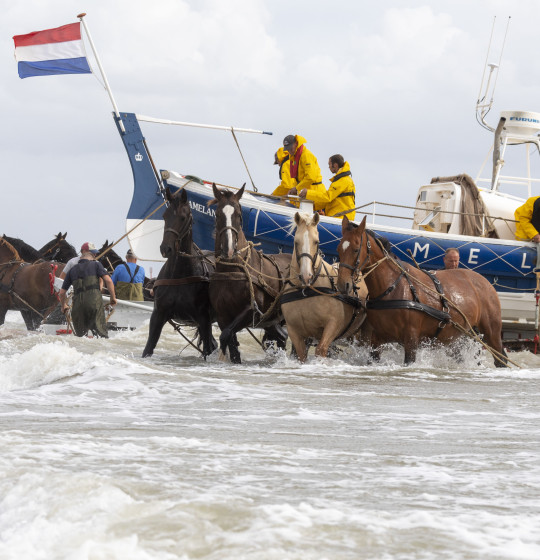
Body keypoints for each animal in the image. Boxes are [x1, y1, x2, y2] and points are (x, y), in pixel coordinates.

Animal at [143, 187, 219, 358]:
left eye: (183, 217)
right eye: (164, 216)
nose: (166, 248)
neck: (180, 274)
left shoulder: (204, 319)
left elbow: (207, 349)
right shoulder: (158, 315)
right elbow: (148, 348)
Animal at [208, 184, 292, 364]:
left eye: (239, 216)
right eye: (217, 215)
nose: (229, 249)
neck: (232, 271)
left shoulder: (251, 312)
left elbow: (226, 337)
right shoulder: (223, 316)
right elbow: (231, 343)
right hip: (272, 319)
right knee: (282, 336)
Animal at [278, 211, 368, 364]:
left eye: (317, 242)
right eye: (296, 242)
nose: (306, 276)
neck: (306, 290)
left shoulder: (333, 325)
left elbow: (321, 350)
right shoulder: (294, 331)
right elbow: (301, 355)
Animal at [336, 215, 508, 368]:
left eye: (356, 249)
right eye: (339, 248)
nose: (343, 284)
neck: (392, 286)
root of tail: (485, 281)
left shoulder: (411, 339)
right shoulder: (375, 340)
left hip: (491, 331)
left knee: (500, 358)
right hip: (458, 338)